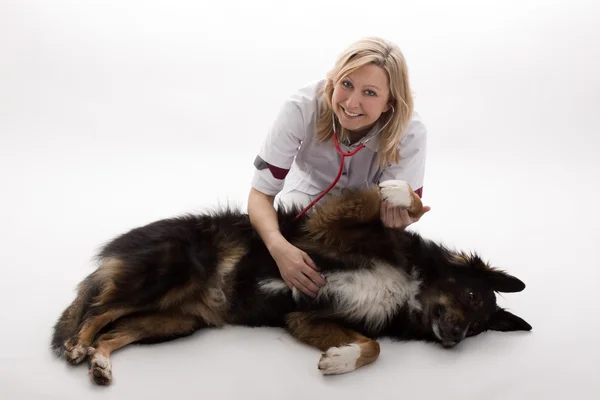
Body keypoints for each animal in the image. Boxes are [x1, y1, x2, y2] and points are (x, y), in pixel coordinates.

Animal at [50, 180, 528, 384]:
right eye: (469, 293)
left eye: (479, 327)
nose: (455, 337)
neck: (412, 287)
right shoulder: (326, 226)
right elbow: (374, 201)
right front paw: (399, 194)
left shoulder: (305, 317)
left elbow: (372, 347)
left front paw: (339, 360)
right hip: (166, 277)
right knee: (99, 311)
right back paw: (78, 345)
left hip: (173, 322)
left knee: (114, 330)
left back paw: (100, 362)